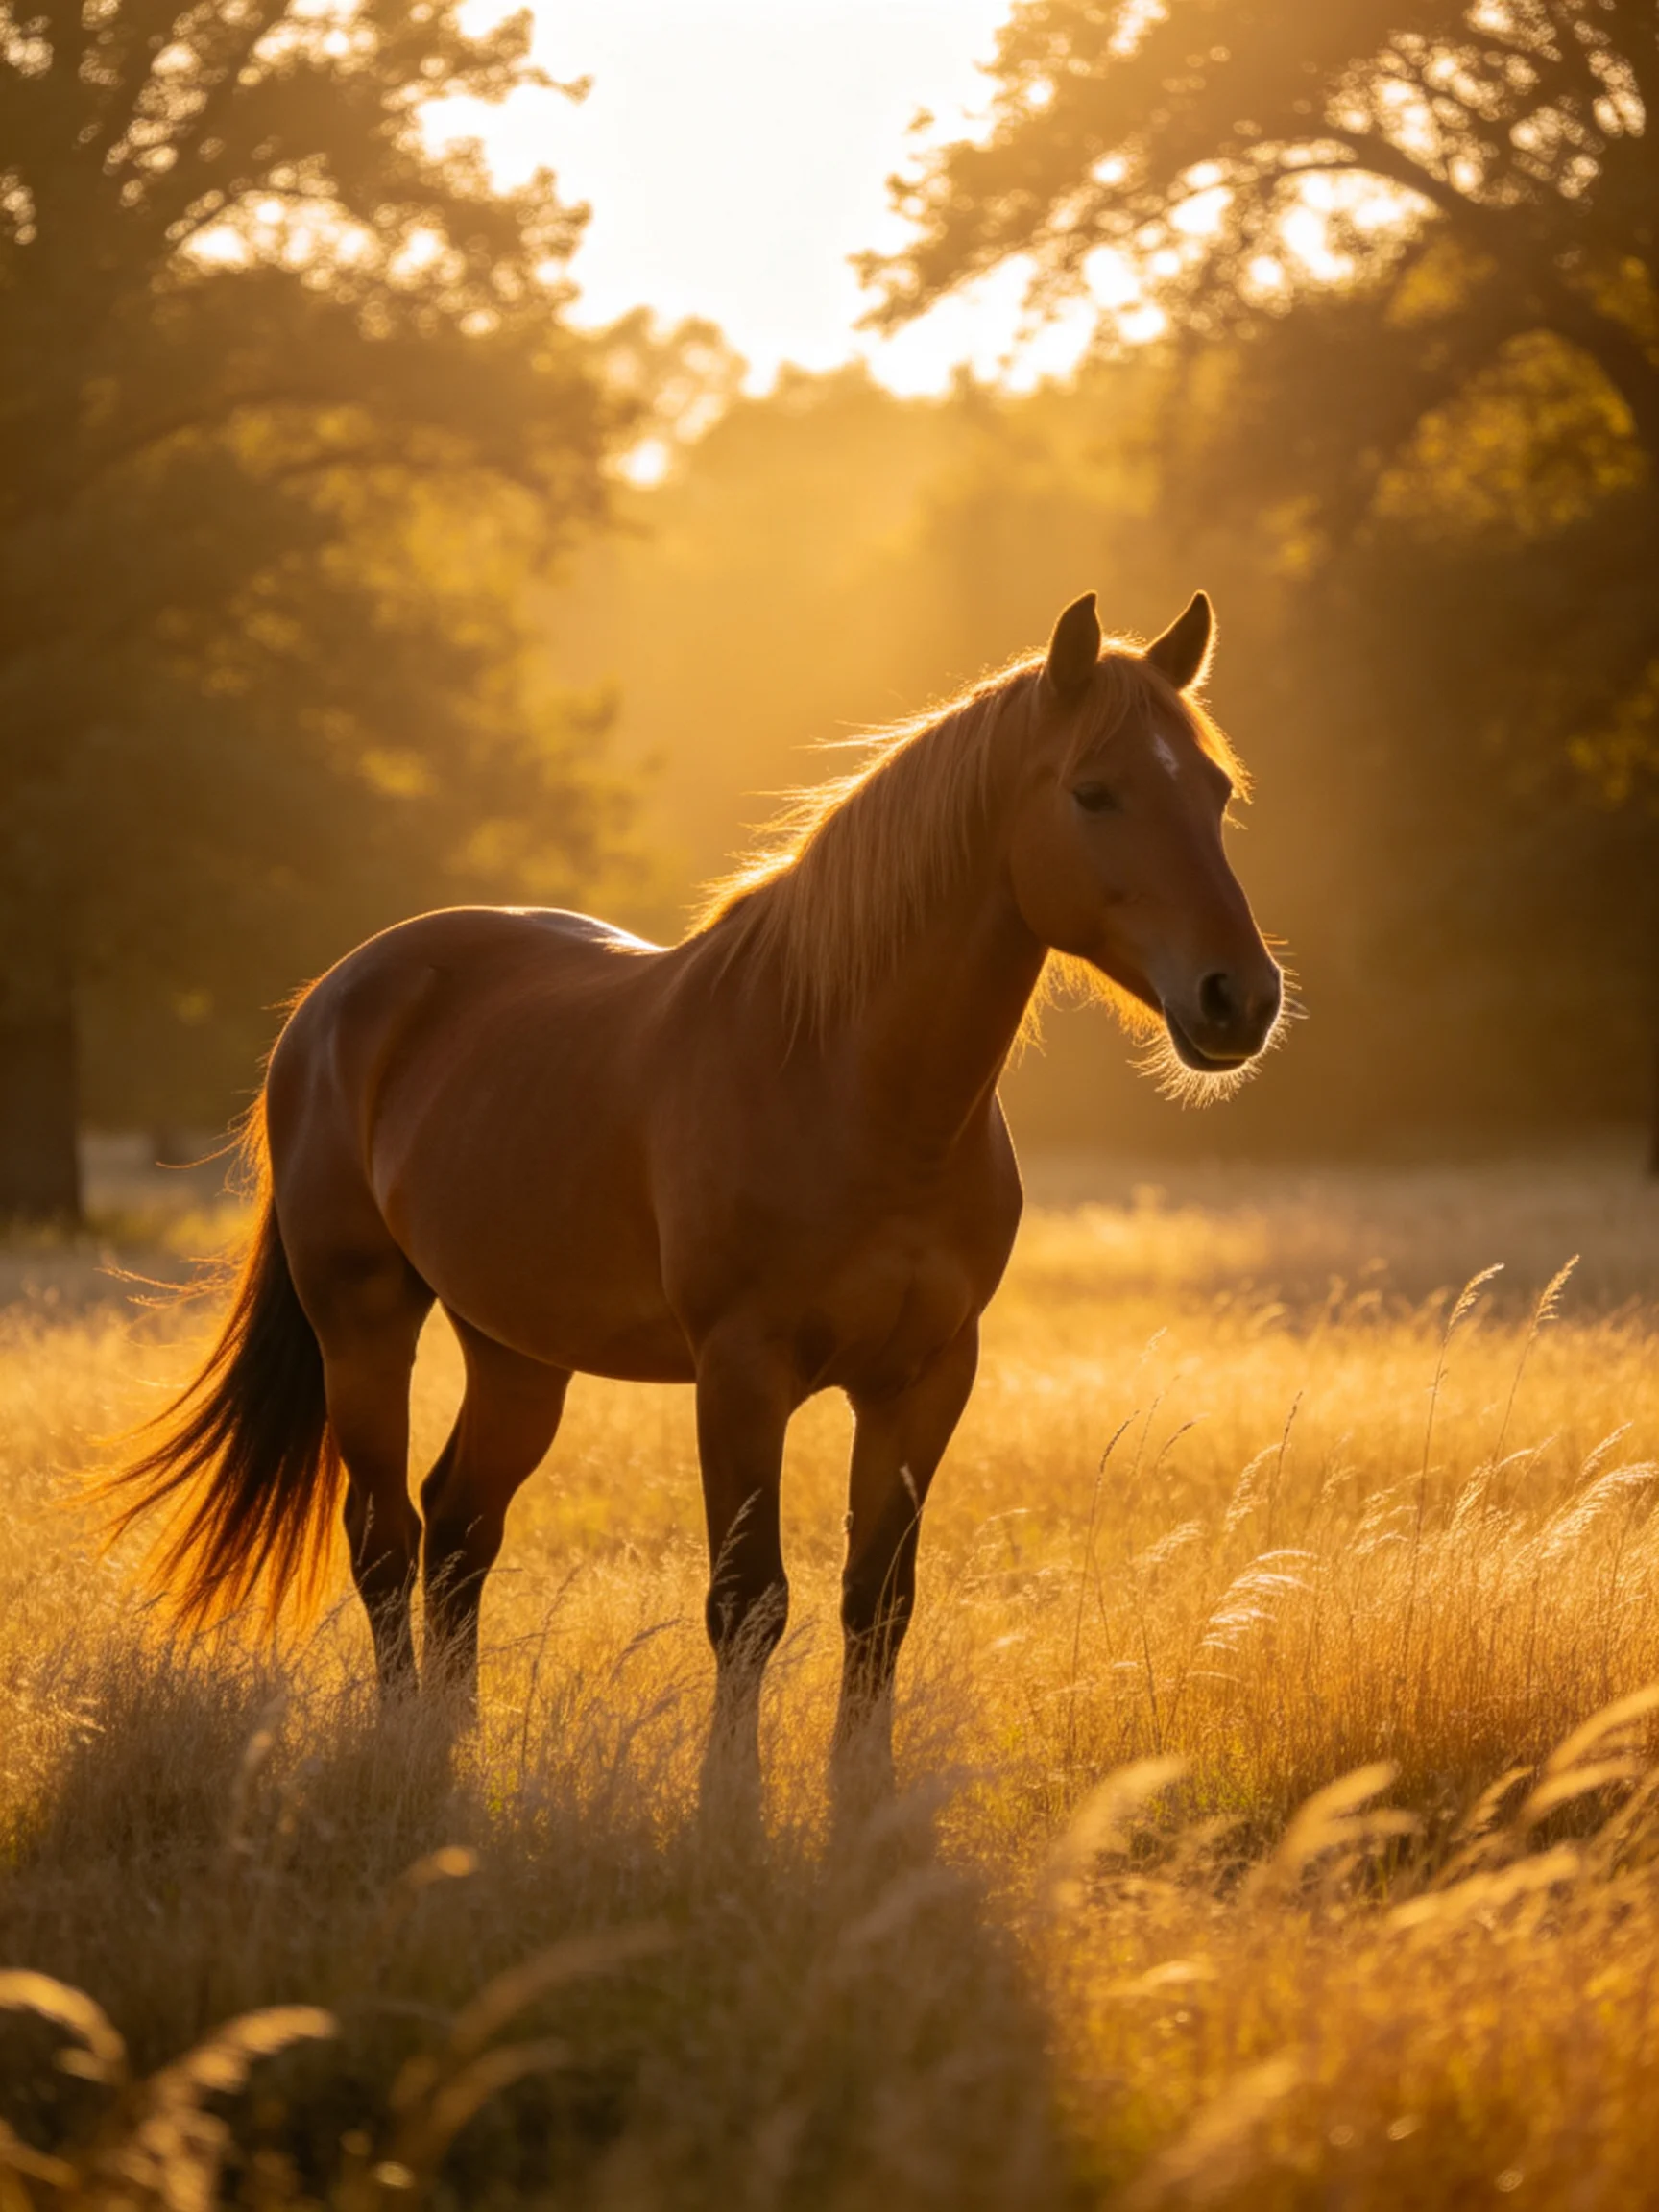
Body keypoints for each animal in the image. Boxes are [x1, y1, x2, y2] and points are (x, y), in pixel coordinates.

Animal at [110, 588, 1282, 1804]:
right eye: (1094, 791)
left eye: (1216, 791)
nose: (1238, 999)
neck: (853, 1088)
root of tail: (336, 995)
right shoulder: (741, 1373)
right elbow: (748, 1601)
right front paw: (733, 1806)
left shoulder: (926, 1377)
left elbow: (880, 1601)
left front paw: (860, 1802)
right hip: (365, 1323)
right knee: (385, 1534)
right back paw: (402, 1751)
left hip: (517, 1352)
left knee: (460, 1527)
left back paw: (455, 1745)